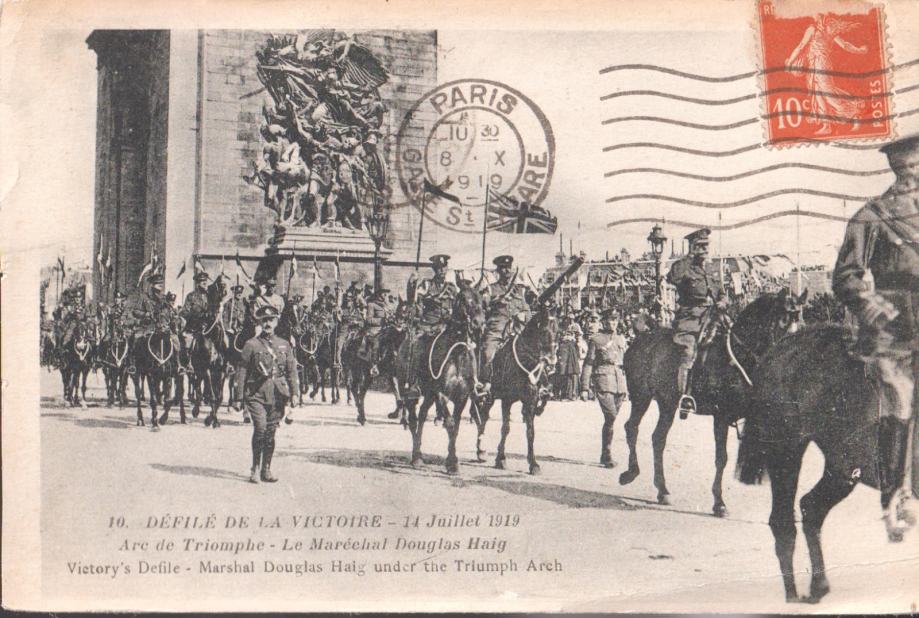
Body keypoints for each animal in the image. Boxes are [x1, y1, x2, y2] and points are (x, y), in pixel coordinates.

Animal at [187, 276, 230, 426]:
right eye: (216, 284)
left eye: (224, 282)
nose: (224, 288)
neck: (213, 338)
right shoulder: (207, 370)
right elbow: (211, 395)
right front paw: (212, 419)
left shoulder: (221, 371)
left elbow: (219, 397)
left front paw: (212, 418)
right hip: (195, 370)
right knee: (196, 386)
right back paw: (195, 409)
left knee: (198, 386)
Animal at [398, 282, 486, 472]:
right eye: (463, 298)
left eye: (481, 299)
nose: (478, 323)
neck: (457, 352)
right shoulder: (442, 394)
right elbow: (450, 423)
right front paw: (452, 462)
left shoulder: (462, 397)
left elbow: (456, 427)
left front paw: (451, 460)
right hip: (409, 390)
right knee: (413, 419)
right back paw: (416, 457)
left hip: (429, 394)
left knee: (422, 414)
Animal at [474, 304, 560, 472]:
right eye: (544, 331)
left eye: (558, 331)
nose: (551, 361)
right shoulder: (506, 400)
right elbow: (505, 428)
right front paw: (501, 458)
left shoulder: (531, 400)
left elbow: (531, 432)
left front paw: (533, 463)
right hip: (488, 395)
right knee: (482, 417)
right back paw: (480, 451)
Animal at [620, 292, 804, 508]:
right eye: (783, 323)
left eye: (802, 323)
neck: (736, 358)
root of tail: (641, 337)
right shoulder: (721, 417)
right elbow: (721, 458)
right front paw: (719, 502)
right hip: (641, 397)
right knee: (632, 427)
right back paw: (631, 472)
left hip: (667, 404)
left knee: (658, 439)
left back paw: (662, 490)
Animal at [740, 322, 912, 600]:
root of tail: (779, 352)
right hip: (791, 450)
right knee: (784, 520)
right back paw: (797, 595)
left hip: (839, 466)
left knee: (810, 508)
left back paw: (815, 586)